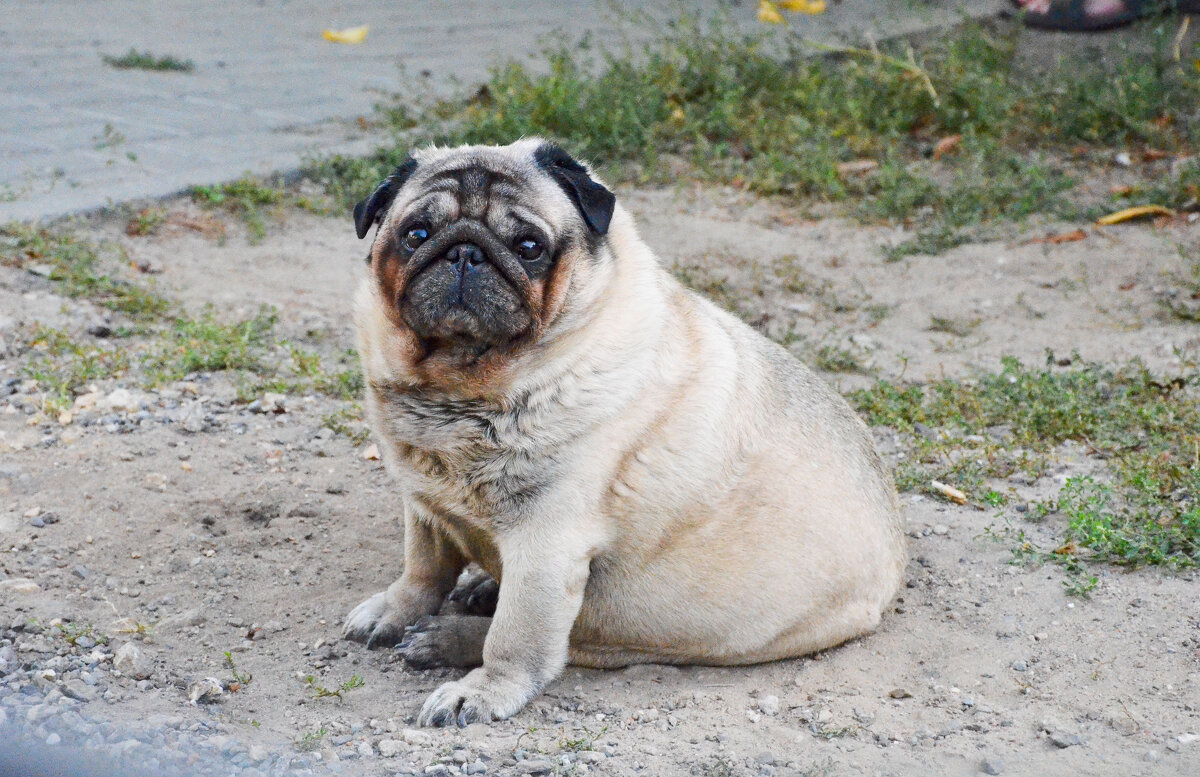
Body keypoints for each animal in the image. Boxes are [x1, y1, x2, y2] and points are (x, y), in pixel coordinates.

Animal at [343, 139, 902, 729]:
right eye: (416, 234)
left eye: (529, 247)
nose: (465, 253)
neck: (464, 388)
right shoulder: (425, 506)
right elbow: (422, 570)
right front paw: (394, 609)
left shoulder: (546, 544)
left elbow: (517, 638)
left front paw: (484, 690)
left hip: (656, 624)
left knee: (568, 642)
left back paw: (452, 638)